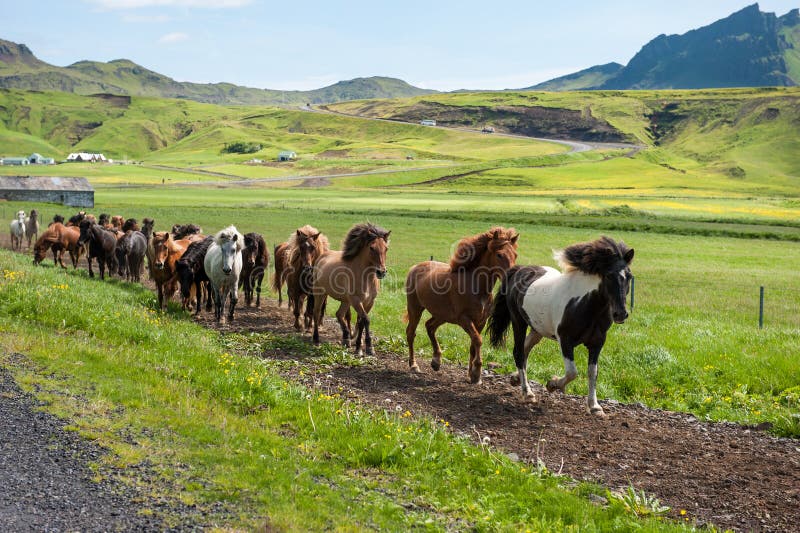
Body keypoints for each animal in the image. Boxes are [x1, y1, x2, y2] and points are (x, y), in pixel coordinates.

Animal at [310, 222, 390, 356]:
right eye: (372, 248)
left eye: (386, 248)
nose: (381, 272)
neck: (365, 277)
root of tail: (321, 257)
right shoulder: (356, 300)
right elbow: (366, 320)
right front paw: (368, 347)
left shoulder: (369, 302)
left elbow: (360, 321)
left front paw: (359, 347)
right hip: (320, 294)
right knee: (316, 313)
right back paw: (316, 339)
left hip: (346, 301)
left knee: (339, 314)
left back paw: (346, 339)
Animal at [406, 224, 520, 382]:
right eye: (499, 255)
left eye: (515, 255)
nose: (512, 277)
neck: (476, 287)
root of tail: (415, 267)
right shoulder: (464, 319)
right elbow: (478, 340)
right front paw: (477, 372)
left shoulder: (480, 322)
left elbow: (473, 344)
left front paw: (471, 374)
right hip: (415, 308)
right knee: (411, 333)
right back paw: (414, 365)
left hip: (442, 315)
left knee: (430, 326)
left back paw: (436, 361)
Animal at [484, 236, 636, 416]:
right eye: (608, 275)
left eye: (629, 276)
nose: (620, 314)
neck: (584, 304)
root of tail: (519, 269)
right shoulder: (565, 340)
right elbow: (572, 372)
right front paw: (553, 384)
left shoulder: (597, 343)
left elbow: (593, 372)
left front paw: (595, 406)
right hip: (518, 321)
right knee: (519, 352)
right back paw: (527, 393)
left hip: (537, 328)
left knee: (526, 349)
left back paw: (515, 378)